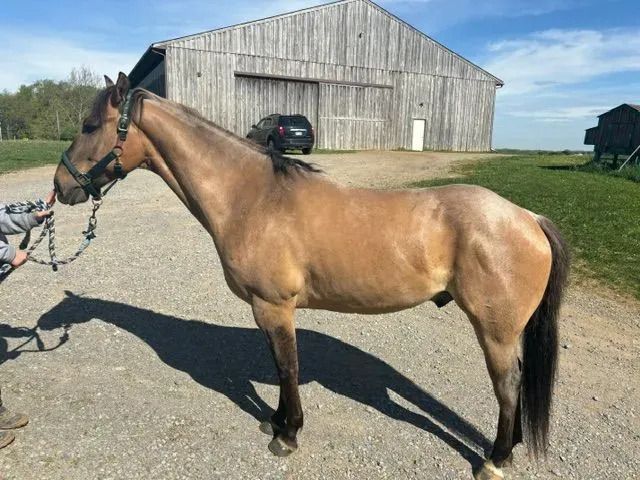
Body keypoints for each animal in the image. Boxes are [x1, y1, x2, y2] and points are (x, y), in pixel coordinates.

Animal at [53, 73, 569, 480]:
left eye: (90, 126)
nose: (61, 187)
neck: (254, 197)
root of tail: (528, 218)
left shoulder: (274, 306)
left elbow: (288, 368)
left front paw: (288, 434)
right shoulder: (268, 310)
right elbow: (281, 367)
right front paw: (276, 422)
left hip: (495, 331)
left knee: (508, 385)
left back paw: (494, 460)